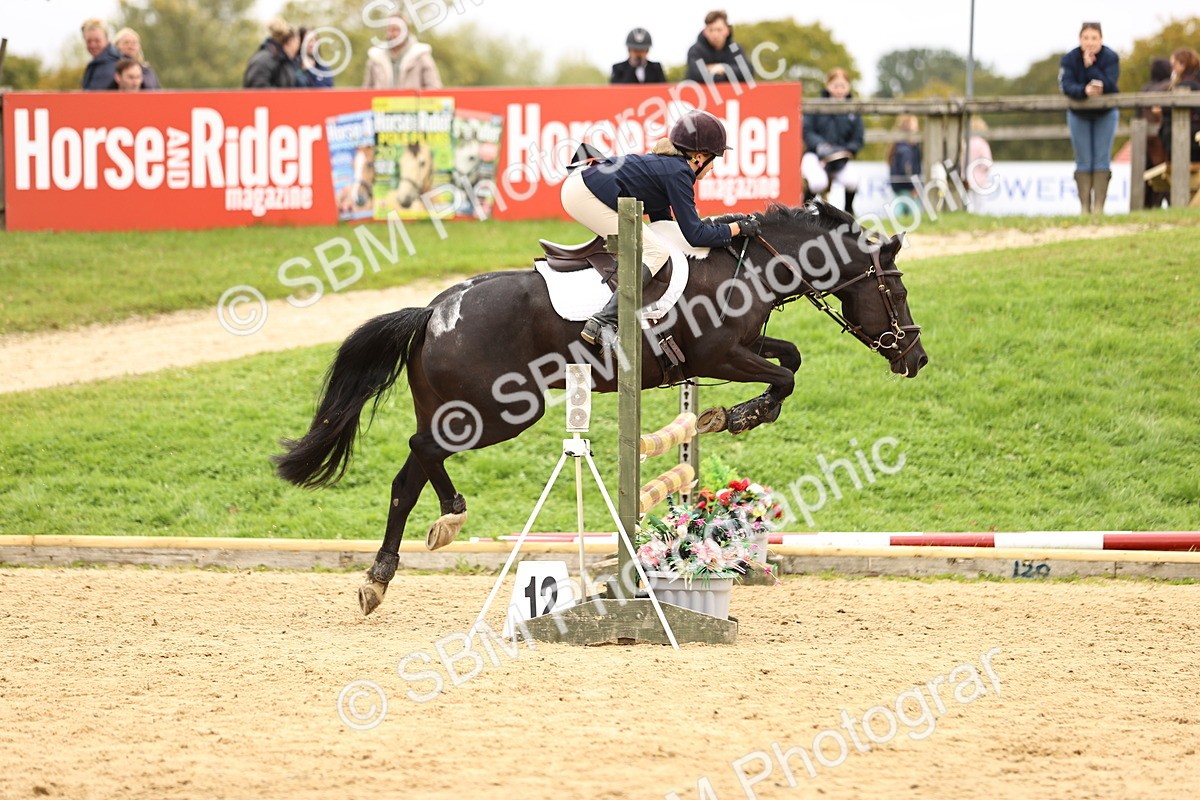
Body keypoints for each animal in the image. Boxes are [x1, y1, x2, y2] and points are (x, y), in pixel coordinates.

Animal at [273, 201, 928, 614]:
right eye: (895, 290)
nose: (916, 358)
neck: (752, 266)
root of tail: (434, 309)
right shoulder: (719, 355)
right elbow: (785, 377)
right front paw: (737, 416)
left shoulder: (739, 350)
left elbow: (789, 359)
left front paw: (730, 415)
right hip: (503, 411)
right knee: (421, 450)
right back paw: (440, 526)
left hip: (463, 408)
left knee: (409, 473)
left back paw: (392, 567)